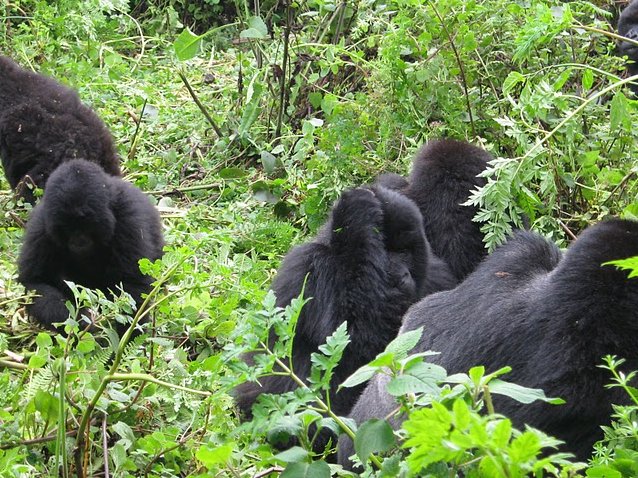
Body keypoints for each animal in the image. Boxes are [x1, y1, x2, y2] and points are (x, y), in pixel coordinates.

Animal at [18, 159, 165, 334]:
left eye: (87, 224)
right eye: (67, 228)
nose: (78, 241)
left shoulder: (129, 218)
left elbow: (132, 284)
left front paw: (128, 336)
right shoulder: (41, 226)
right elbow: (35, 283)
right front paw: (81, 322)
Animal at [235, 185, 460, 420]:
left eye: (403, 251)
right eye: (384, 251)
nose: (401, 275)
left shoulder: (437, 276)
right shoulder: (310, 265)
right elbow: (351, 336)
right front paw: (357, 214)